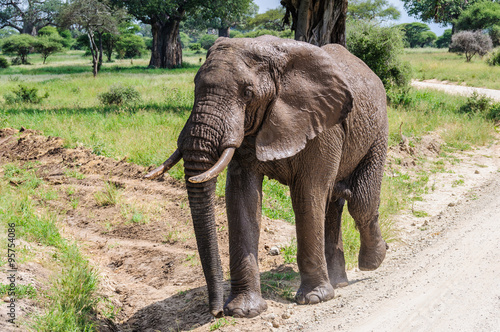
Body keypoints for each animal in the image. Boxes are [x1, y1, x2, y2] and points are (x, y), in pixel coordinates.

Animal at [146, 36, 388, 320]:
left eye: (248, 93)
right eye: (195, 87)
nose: (216, 313)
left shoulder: (322, 126)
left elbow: (308, 194)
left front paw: (313, 299)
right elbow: (242, 196)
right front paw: (243, 311)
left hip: (377, 128)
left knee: (360, 202)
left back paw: (373, 262)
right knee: (334, 204)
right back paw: (339, 282)